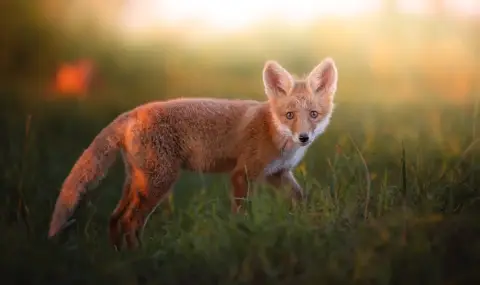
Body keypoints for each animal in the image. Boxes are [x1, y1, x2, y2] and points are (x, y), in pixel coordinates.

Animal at [47, 57, 338, 248]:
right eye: (289, 116)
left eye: (313, 114)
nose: (304, 137)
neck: (272, 130)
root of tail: (133, 112)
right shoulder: (242, 174)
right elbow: (241, 213)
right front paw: (240, 236)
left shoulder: (277, 174)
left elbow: (300, 197)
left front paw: (307, 222)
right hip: (158, 183)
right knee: (130, 221)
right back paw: (139, 257)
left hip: (137, 183)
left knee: (115, 218)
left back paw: (120, 256)